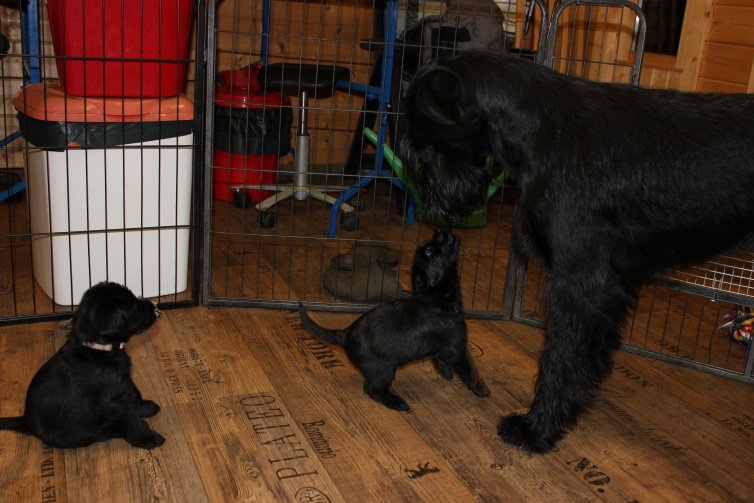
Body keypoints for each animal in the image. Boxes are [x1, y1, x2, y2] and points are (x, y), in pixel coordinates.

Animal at [0, 282, 164, 450]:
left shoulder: (123, 381)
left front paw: (144, 408)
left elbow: (134, 394)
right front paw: (147, 438)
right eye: (132, 305)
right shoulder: (114, 401)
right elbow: (130, 419)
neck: (96, 349)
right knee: (103, 431)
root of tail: (26, 422)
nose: (154, 305)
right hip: (76, 435)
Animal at [296, 230, 490, 412]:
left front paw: (446, 372)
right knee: (372, 390)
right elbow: (469, 370)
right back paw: (397, 402)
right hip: (384, 370)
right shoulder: (456, 347)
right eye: (429, 251)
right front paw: (482, 390)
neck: (439, 294)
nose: (440, 232)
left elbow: (438, 357)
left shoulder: (440, 344)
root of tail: (344, 334)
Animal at [400, 50, 752, 452]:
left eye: (420, 120)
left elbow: (560, 354)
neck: (542, 132)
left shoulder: (578, 282)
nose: (410, 163)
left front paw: (537, 428)